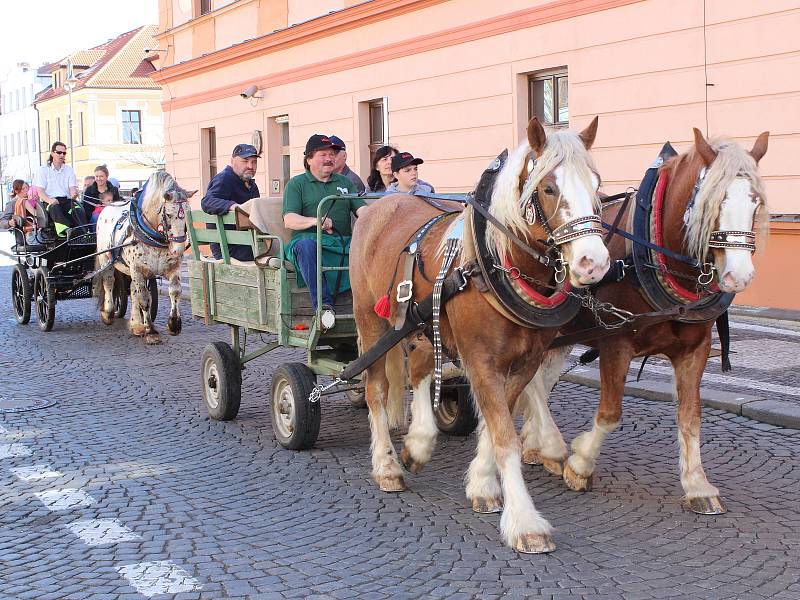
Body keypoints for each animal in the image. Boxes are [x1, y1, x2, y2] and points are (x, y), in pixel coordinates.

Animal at [92, 171, 194, 344]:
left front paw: (174, 324)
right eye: (168, 214)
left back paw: (136, 324)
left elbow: (174, 291)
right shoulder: (138, 268)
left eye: (187, 213)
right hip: (107, 260)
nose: (178, 250)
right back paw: (109, 312)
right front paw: (151, 331)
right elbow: (144, 299)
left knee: (132, 289)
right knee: (109, 282)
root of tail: (107, 206)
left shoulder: (172, 267)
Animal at [346, 117, 608, 552]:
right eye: (548, 188)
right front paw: (525, 522)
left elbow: (495, 424)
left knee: (421, 368)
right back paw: (386, 465)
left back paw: (418, 443)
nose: (594, 263)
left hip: (423, 322)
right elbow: (505, 435)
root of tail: (376, 205)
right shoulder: (481, 359)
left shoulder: (523, 362)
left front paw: (483, 485)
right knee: (376, 391)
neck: (492, 263)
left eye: (597, 185)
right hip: (371, 321)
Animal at [520, 126, 768, 510]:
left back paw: (536, 444)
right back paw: (549, 444)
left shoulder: (695, 350)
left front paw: (697, 484)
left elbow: (691, 416)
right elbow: (610, 413)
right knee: (533, 382)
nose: (738, 276)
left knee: (541, 382)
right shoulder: (615, 343)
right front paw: (580, 464)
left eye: (755, 203)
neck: (652, 253)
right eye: (712, 202)